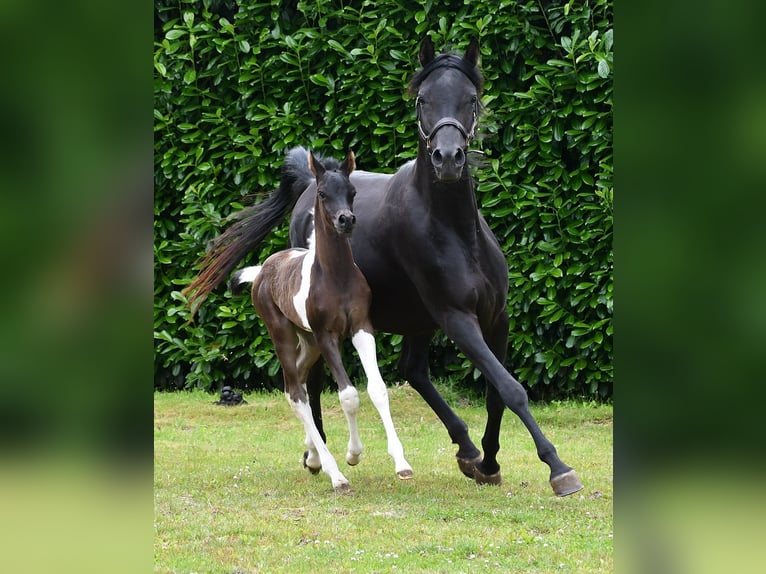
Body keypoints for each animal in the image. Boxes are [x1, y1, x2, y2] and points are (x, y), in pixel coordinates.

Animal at [231, 151, 414, 492]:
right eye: (322, 193)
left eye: (352, 192)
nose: (346, 220)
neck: (335, 276)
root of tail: (263, 270)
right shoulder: (327, 335)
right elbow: (348, 394)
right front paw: (353, 455)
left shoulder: (361, 327)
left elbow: (377, 388)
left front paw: (401, 463)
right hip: (284, 334)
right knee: (295, 392)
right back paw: (334, 473)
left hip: (308, 341)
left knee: (300, 380)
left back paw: (314, 456)